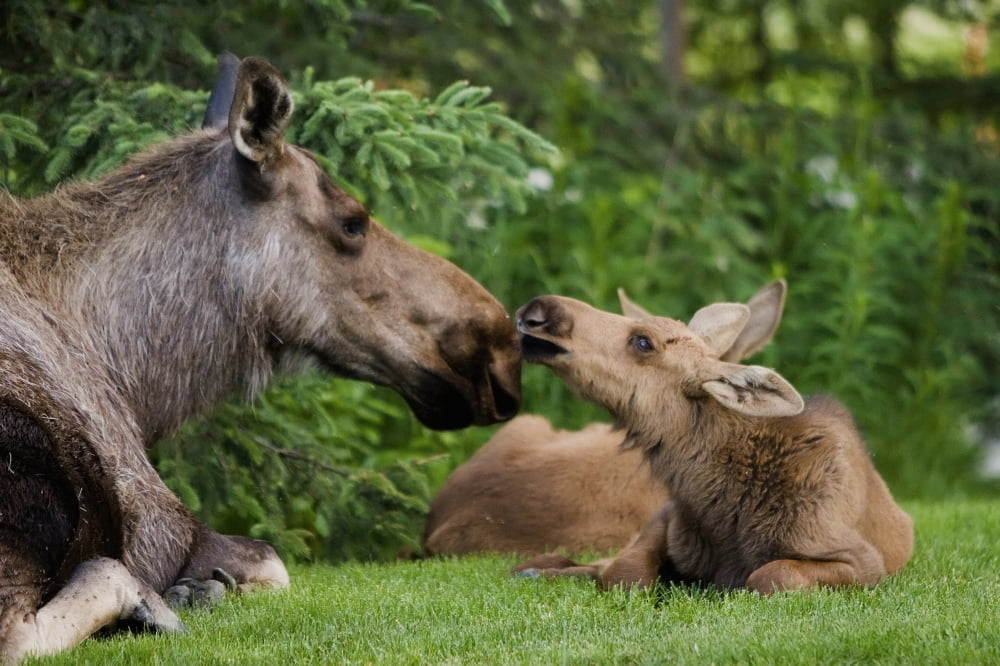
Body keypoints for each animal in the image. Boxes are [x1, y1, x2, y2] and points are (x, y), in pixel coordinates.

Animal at [0, 54, 521, 662]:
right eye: (353, 220)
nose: (499, 353)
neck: (134, 379)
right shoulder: (162, 519)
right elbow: (275, 564)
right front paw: (197, 589)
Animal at [510, 290, 912, 593]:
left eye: (643, 342)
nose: (539, 310)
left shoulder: (863, 562)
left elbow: (771, 575)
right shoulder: (667, 519)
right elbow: (625, 573)